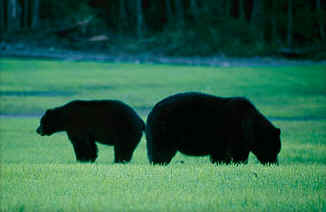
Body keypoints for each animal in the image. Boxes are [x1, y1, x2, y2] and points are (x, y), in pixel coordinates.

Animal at [146, 92, 282, 166]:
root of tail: (152, 111)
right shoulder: (238, 130)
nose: (274, 163)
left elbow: (220, 154)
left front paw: (221, 163)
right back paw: (159, 163)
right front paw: (239, 162)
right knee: (162, 150)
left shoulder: (221, 141)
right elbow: (238, 151)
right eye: (275, 149)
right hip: (166, 129)